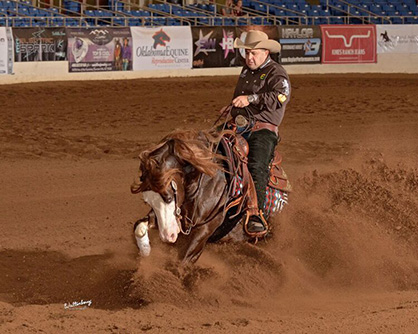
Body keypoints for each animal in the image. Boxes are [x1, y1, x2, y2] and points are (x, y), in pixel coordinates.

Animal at [132, 128, 290, 264]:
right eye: (148, 202)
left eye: (169, 197)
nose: (167, 236)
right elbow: (139, 227)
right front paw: (145, 251)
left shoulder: (206, 228)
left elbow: (183, 261)